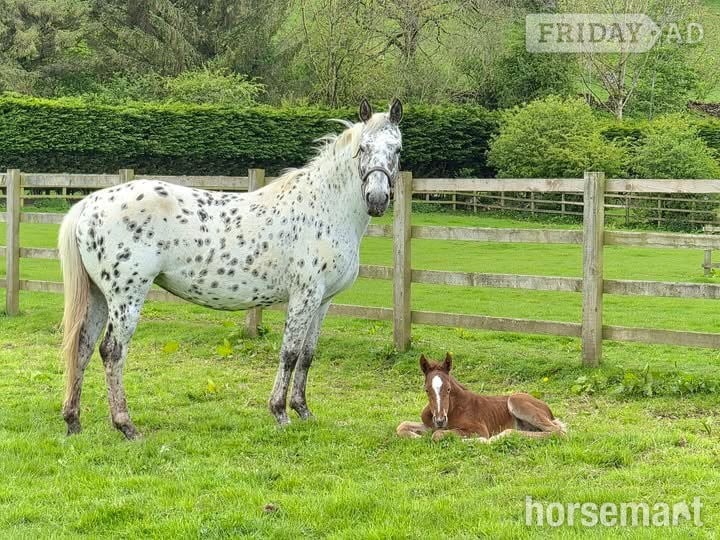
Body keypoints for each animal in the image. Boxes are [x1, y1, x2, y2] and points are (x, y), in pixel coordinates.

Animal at [59, 98, 403, 439]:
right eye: (363, 147)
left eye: (397, 149)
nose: (377, 199)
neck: (324, 207)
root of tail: (89, 203)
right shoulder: (304, 296)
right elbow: (289, 353)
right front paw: (280, 414)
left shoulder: (323, 302)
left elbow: (307, 355)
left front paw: (303, 411)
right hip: (126, 297)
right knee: (112, 351)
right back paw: (126, 426)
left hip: (99, 296)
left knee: (83, 346)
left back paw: (73, 421)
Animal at [397, 354, 567, 442]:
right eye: (426, 390)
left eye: (448, 389)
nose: (439, 420)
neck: (453, 409)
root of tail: (548, 410)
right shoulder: (430, 424)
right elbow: (402, 425)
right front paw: (416, 436)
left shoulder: (479, 429)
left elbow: (437, 435)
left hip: (516, 400)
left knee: (558, 432)